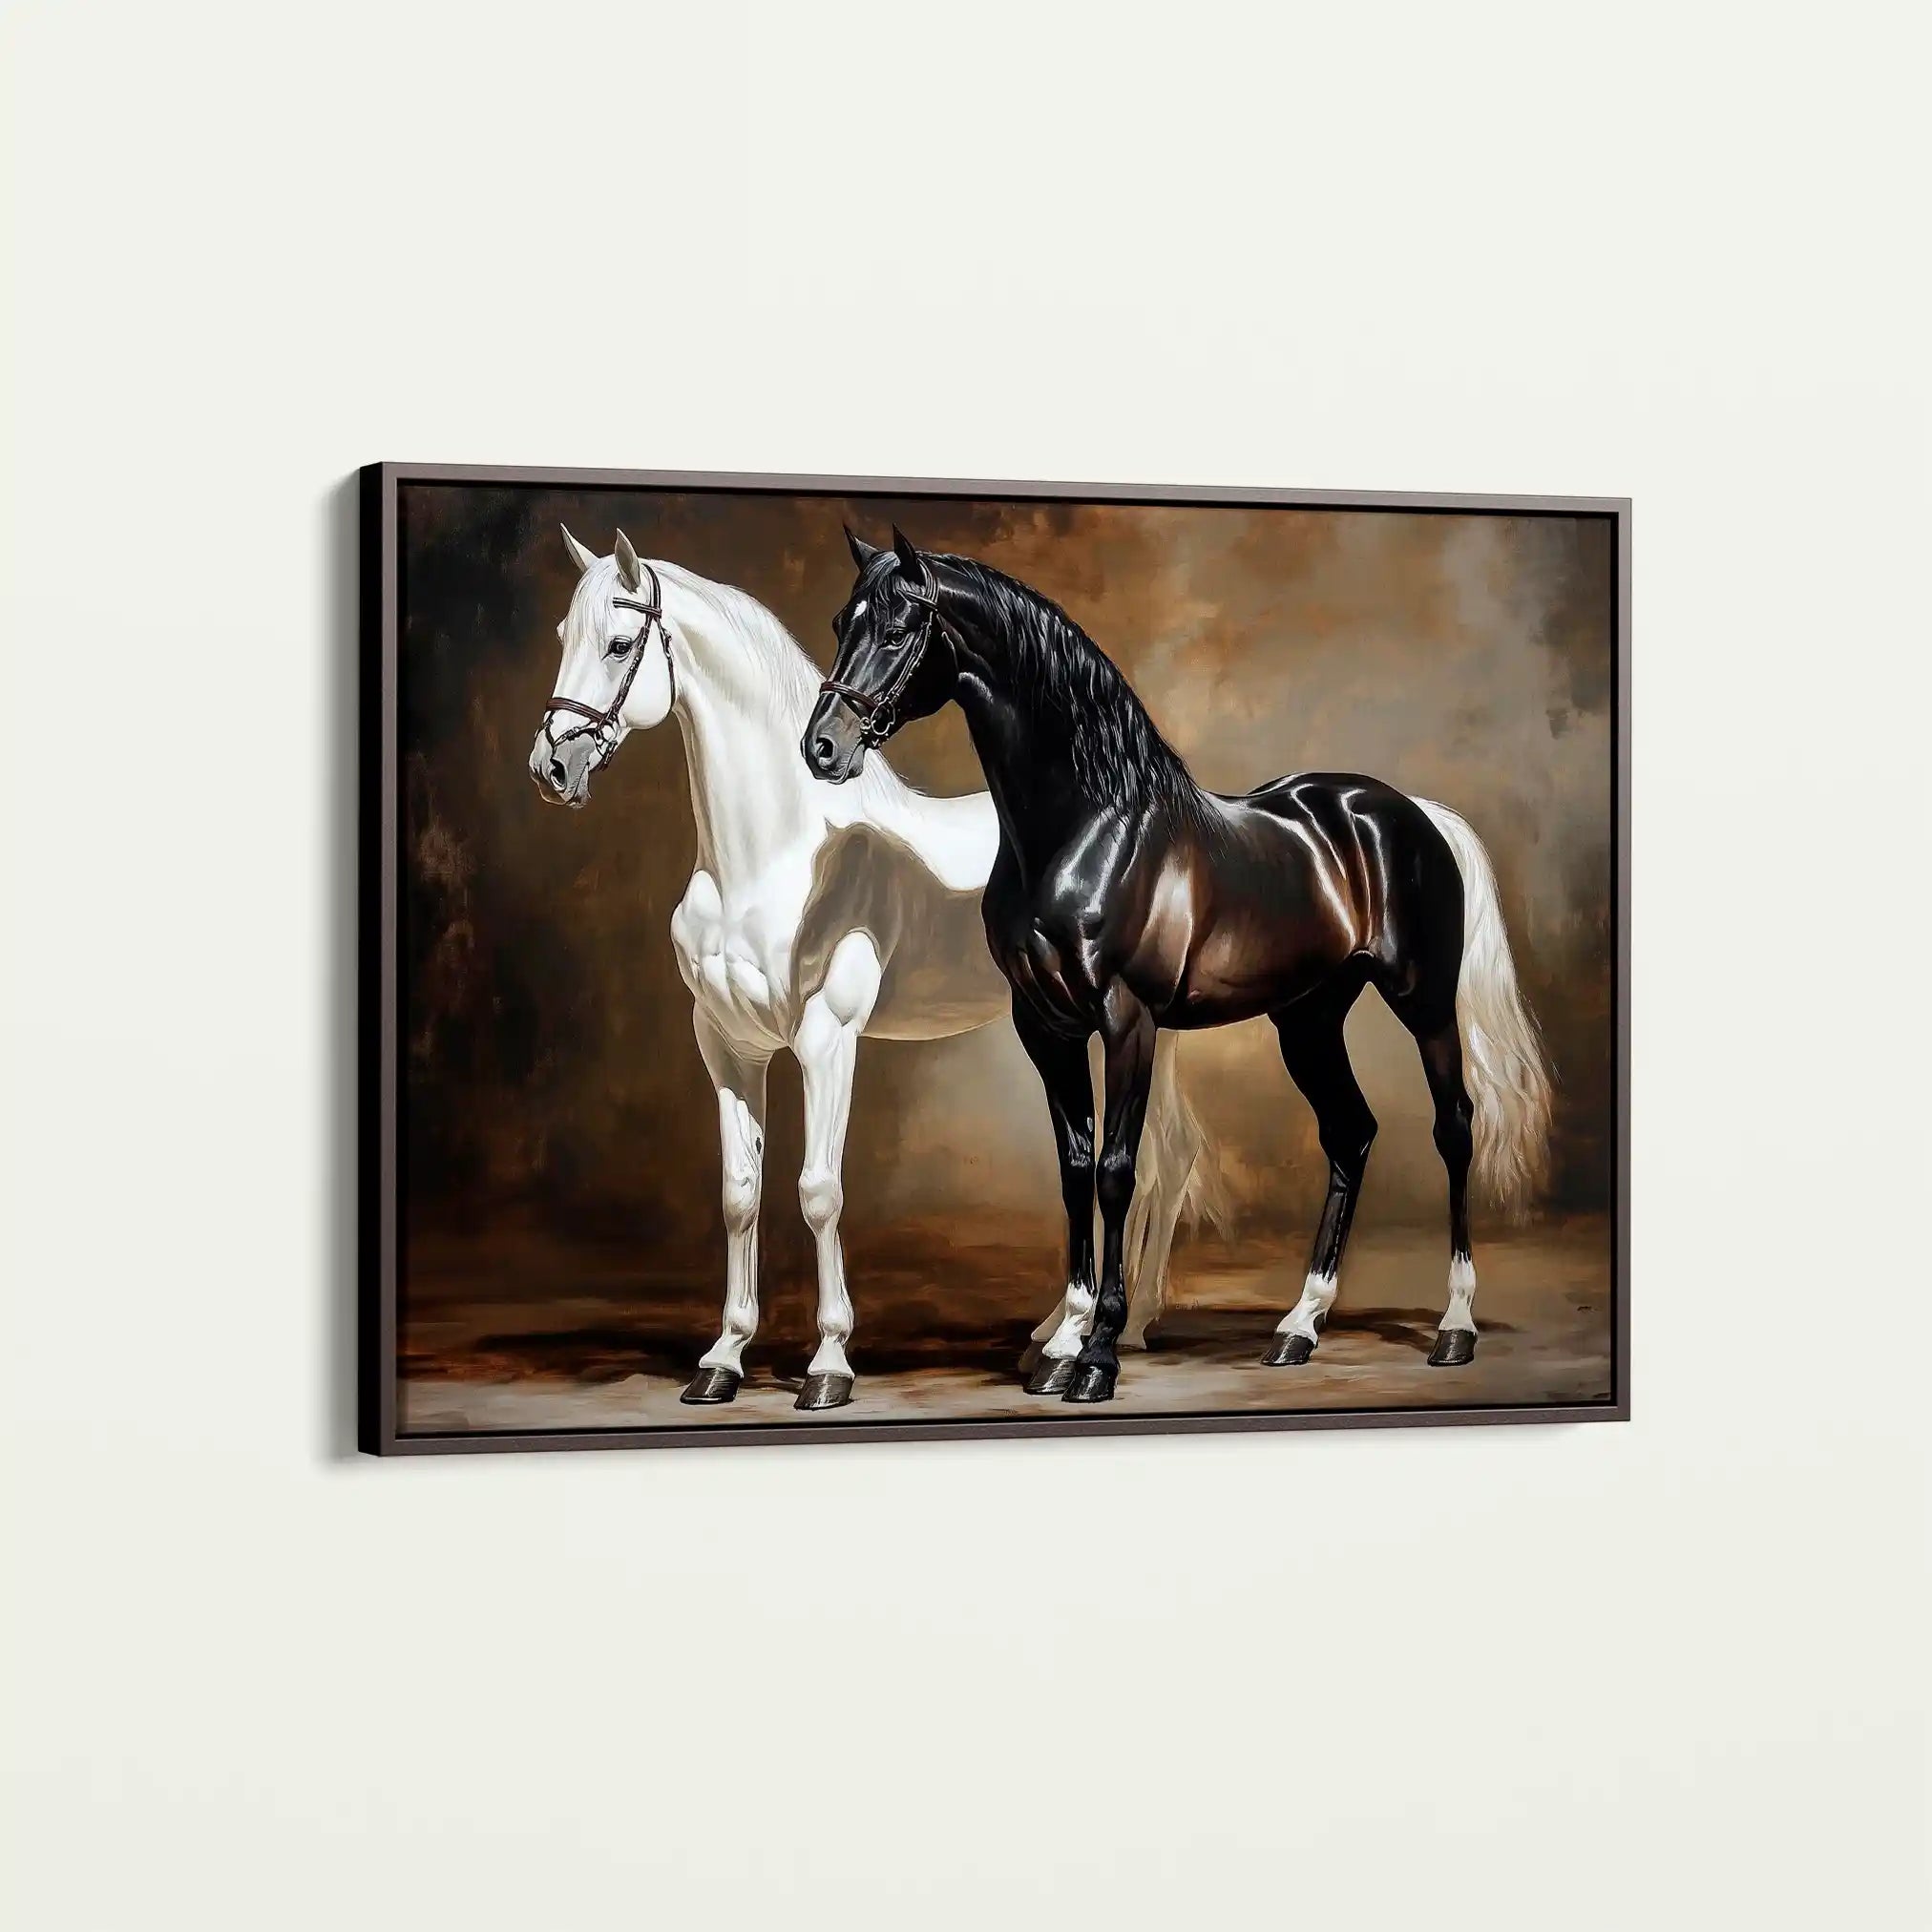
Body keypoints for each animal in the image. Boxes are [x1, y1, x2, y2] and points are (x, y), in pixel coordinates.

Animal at [528, 528, 1218, 1411]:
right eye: (563, 638)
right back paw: (1068, 1333)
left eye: (619, 645)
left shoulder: (828, 1039)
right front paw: (722, 1359)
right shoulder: (725, 1044)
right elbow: (740, 1194)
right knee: (1157, 1155)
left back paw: (1108, 1336)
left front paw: (828, 1365)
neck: (777, 857)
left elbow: (819, 1192)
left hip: (1138, 1028)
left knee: (1158, 1160)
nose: (553, 767)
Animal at [805, 527, 1554, 1404]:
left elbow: (1116, 1172)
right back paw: (1298, 1327)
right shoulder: (1045, 1025)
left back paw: (1454, 1327)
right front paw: (1062, 1344)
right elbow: (1073, 1169)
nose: (822, 747)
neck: (1088, 827)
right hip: (1307, 1018)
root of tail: (1407, 813)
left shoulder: (1128, 1020)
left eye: (897, 630)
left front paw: (1098, 1355)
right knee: (1351, 1134)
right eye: (839, 623)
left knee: (1454, 1127)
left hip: (1423, 1001)